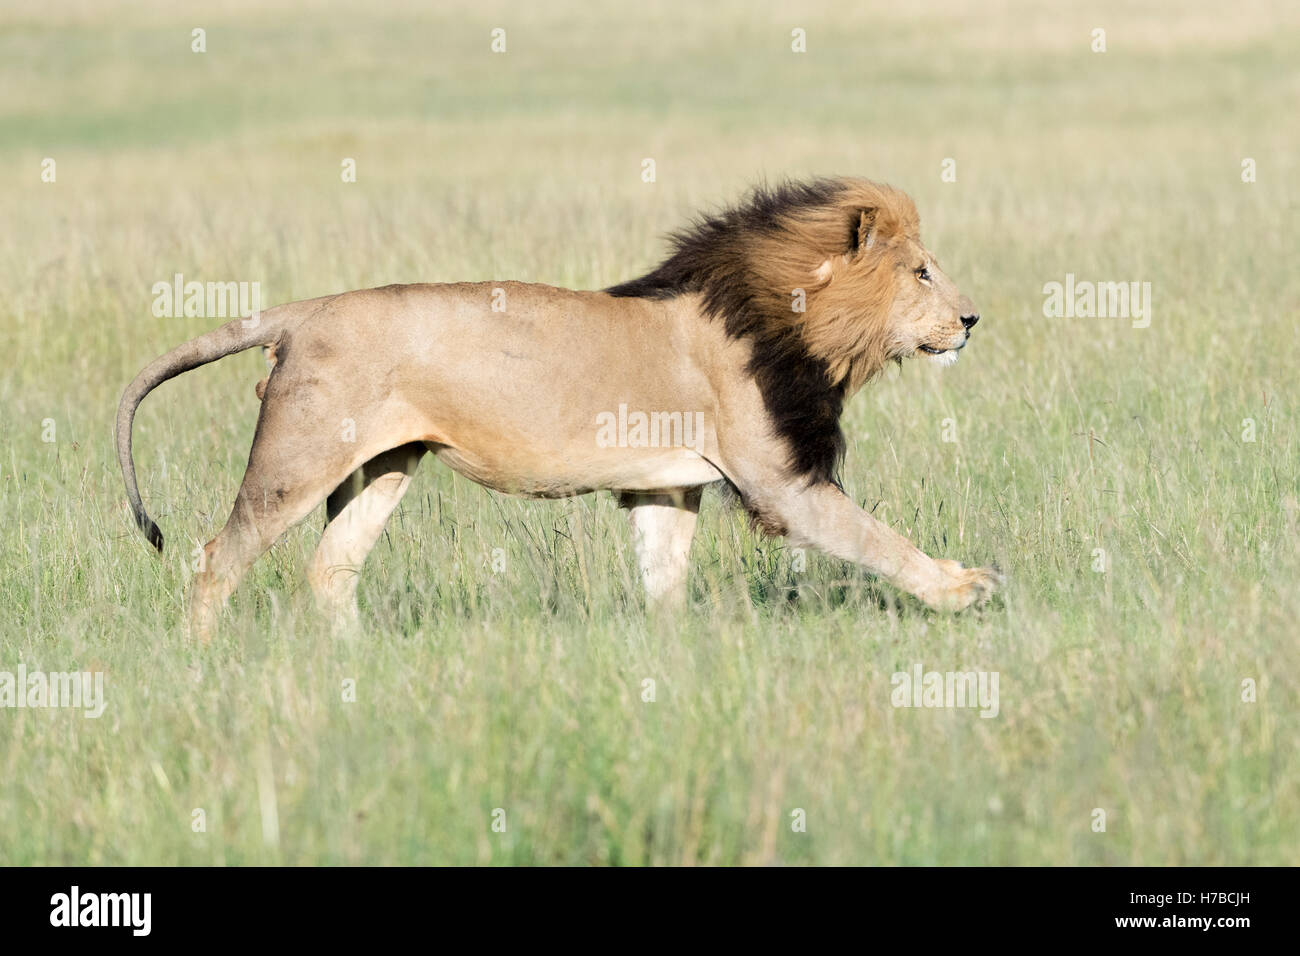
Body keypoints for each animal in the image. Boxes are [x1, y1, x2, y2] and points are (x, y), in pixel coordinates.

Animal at [116, 179, 998, 642]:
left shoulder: (665, 484)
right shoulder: (779, 481)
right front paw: (965, 588)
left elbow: (664, 577)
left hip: (383, 465)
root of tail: (301, 312)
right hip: (297, 460)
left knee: (330, 569)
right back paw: (203, 659)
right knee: (215, 557)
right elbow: (874, 538)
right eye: (922, 272)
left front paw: (674, 657)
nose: (970, 320)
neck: (787, 316)